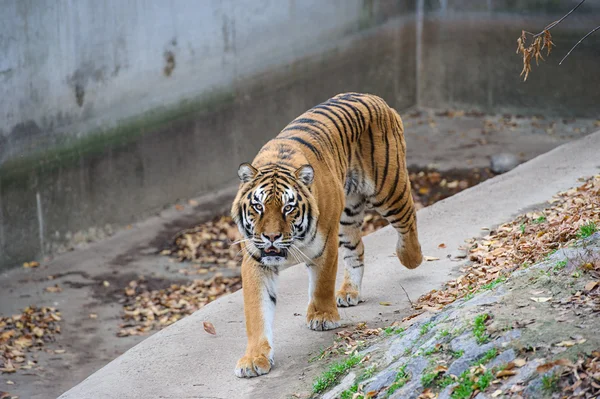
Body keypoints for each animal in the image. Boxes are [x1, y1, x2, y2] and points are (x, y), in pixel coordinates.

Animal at [230, 93, 422, 378]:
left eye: (288, 208)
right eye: (258, 207)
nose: (271, 237)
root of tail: (374, 98)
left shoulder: (326, 245)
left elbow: (321, 284)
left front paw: (322, 317)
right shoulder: (256, 261)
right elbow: (257, 311)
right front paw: (254, 359)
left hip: (388, 190)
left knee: (408, 219)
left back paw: (411, 257)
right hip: (349, 213)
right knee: (358, 249)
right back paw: (349, 292)